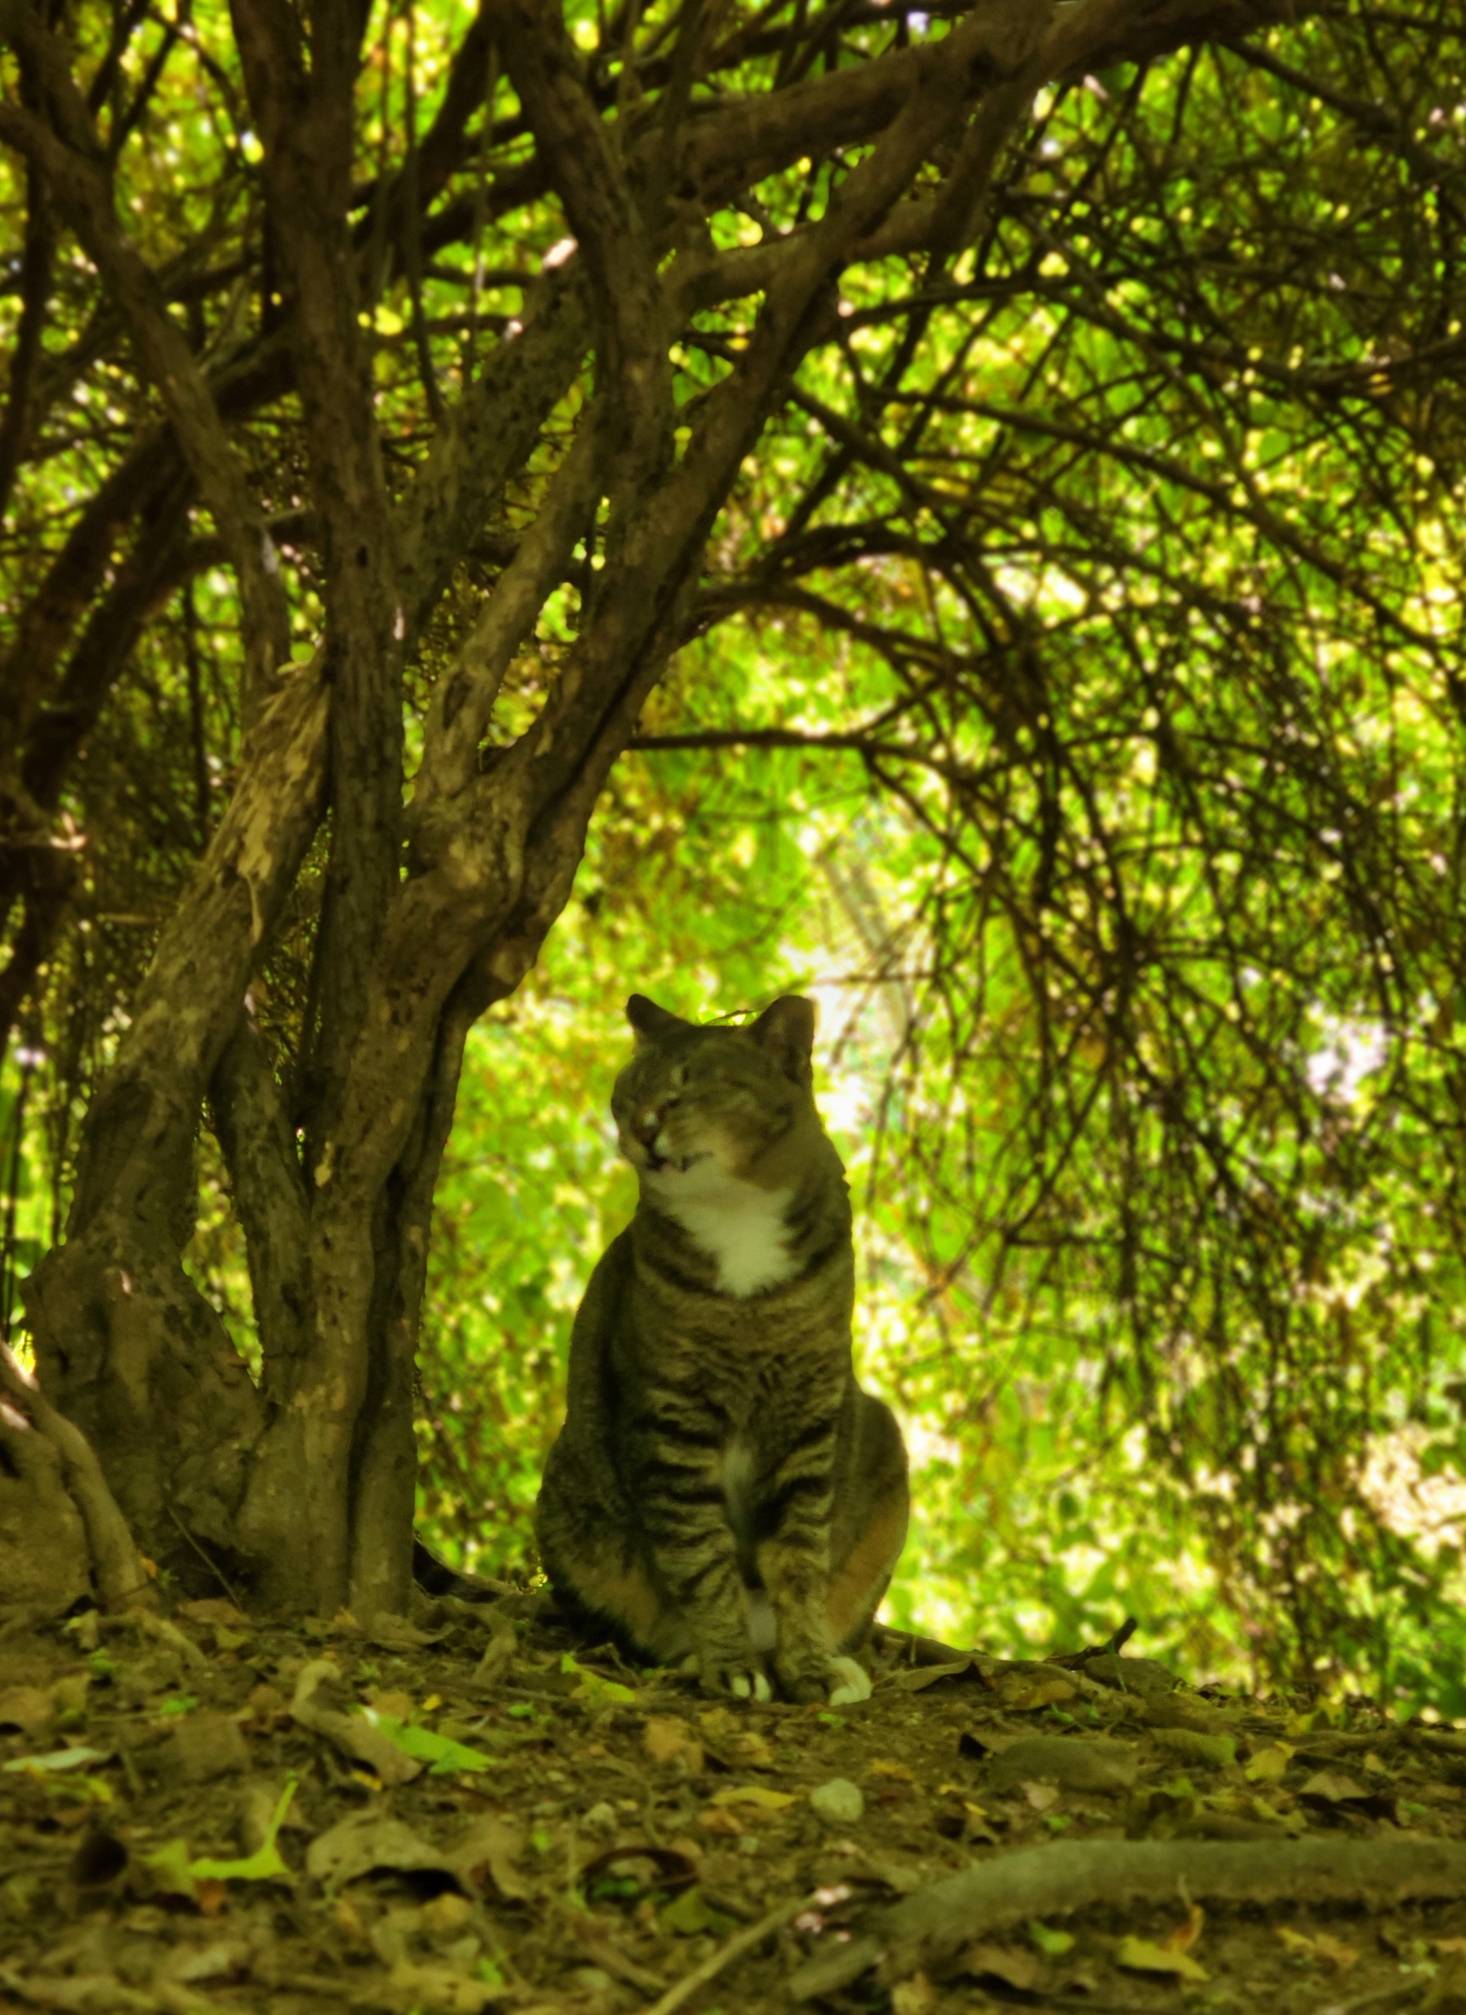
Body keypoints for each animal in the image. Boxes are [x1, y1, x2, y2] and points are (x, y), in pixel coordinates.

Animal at [531, 991, 910, 1700]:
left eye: (687, 1088)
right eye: (628, 1093)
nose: (640, 1128)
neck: (737, 1216)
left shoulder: (808, 1413)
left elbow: (799, 1557)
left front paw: (808, 1665)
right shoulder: (669, 1416)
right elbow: (700, 1553)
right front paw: (730, 1663)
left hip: (882, 1438)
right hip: (569, 1491)